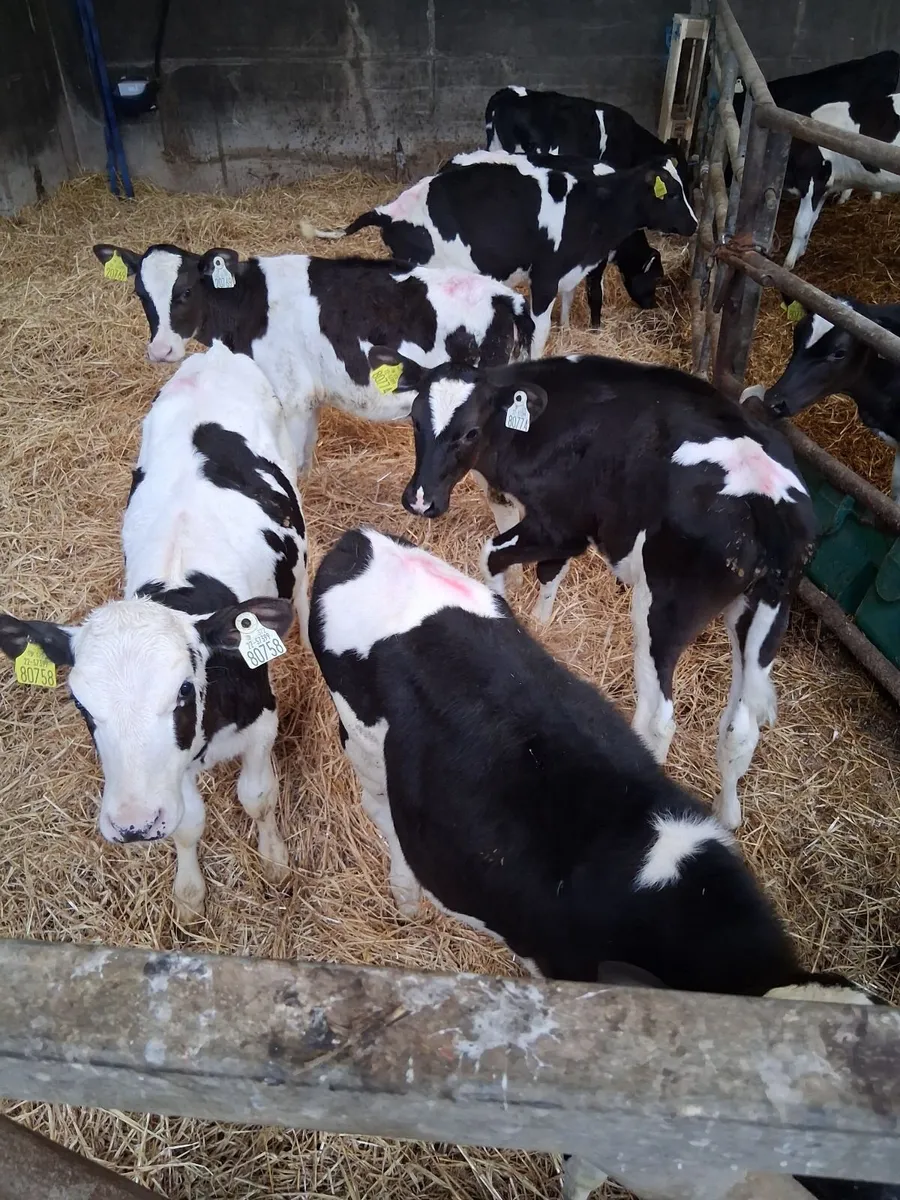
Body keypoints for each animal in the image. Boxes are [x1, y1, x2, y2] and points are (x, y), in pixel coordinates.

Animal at [0, 343, 306, 923]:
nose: (134, 825)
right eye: (81, 706)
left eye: (184, 691)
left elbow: (259, 796)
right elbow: (186, 823)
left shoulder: (262, 721)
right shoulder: (172, 772)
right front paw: (188, 892)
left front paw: (276, 858)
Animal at [92, 244, 535, 472]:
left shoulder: (289, 395)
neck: (250, 305)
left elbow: (288, 460)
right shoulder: (309, 397)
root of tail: (508, 299)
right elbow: (302, 456)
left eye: (184, 292)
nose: (161, 350)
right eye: (141, 294)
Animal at [299, 152, 697, 356]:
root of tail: (390, 210)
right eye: (672, 193)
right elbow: (539, 329)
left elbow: (569, 304)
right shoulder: (545, 275)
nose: (695, 224)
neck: (591, 205)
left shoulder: (570, 271)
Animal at [366, 348, 816, 828]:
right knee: (740, 727)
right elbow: (550, 573)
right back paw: (728, 814)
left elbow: (493, 556)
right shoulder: (566, 534)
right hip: (763, 609)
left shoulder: (558, 525)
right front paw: (542, 621)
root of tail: (766, 498)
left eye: (470, 431)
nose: (420, 500)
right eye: (415, 419)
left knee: (658, 718)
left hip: (664, 607)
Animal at [782, 93, 900, 269]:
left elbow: (800, 224)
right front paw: (800, 252)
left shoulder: (813, 184)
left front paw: (788, 263)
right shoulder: (824, 188)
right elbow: (811, 220)